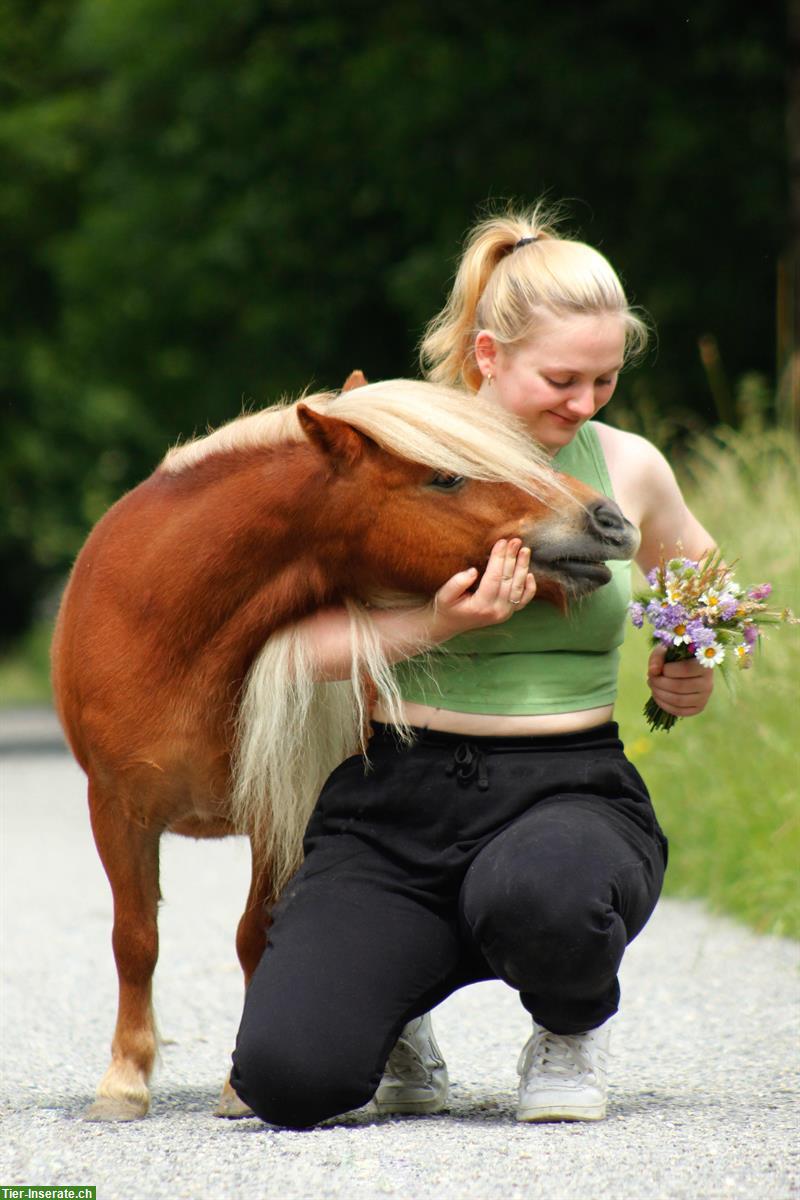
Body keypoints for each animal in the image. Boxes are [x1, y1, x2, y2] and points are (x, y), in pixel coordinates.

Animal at [51, 376, 638, 1123]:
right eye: (446, 476)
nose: (608, 520)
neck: (169, 628)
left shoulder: (280, 811)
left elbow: (254, 932)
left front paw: (235, 1091)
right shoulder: (118, 811)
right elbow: (135, 942)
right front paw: (124, 1081)